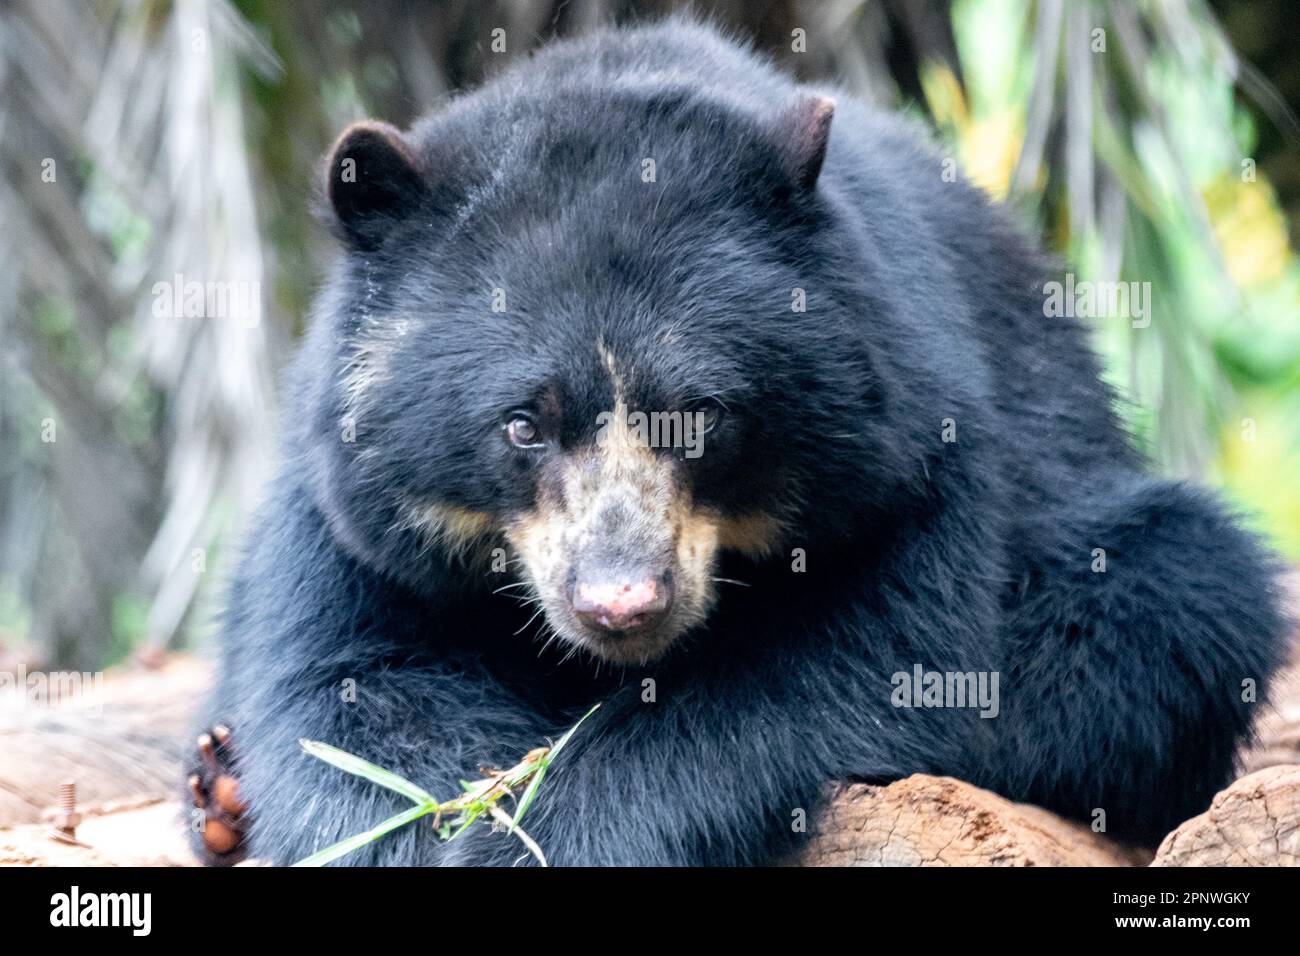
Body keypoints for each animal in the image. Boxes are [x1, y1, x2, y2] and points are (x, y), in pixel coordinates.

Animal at [185, 18, 1288, 866]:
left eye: (702, 417)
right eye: (522, 425)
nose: (622, 603)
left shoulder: (915, 460)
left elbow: (849, 670)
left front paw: (544, 830)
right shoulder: (344, 504)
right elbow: (354, 689)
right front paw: (449, 815)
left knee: (1179, 591)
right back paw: (216, 790)